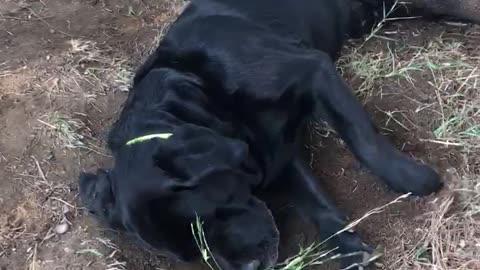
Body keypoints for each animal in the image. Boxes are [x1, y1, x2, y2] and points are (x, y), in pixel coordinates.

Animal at [79, 1, 442, 268]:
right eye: (194, 254)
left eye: (210, 215)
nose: (251, 267)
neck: (197, 84)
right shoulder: (271, 150)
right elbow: (314, 203)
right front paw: (349, 248)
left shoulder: (313, 71)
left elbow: (362, 139)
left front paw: (413, 179)